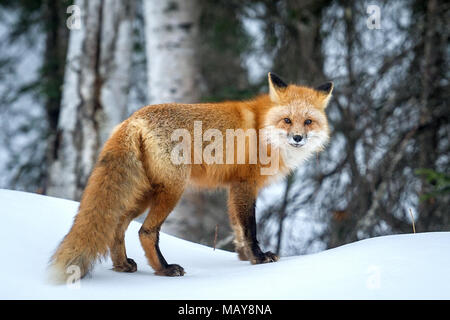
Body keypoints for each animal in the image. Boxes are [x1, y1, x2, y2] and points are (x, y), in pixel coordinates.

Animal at [49, 73, 332, 282]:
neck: (263, 130)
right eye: (287, 120)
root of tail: (133, 119)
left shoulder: (234, 188)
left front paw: (244, 259)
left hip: (143, 193)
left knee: (117, 226)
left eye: (308, 122)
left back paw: (123, 265)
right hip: (173, 190)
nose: (298, 138)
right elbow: (249, 228)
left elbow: (237, 228)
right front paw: (259, 258)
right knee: (145, 231)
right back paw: (164, 269)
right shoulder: (245, 185)